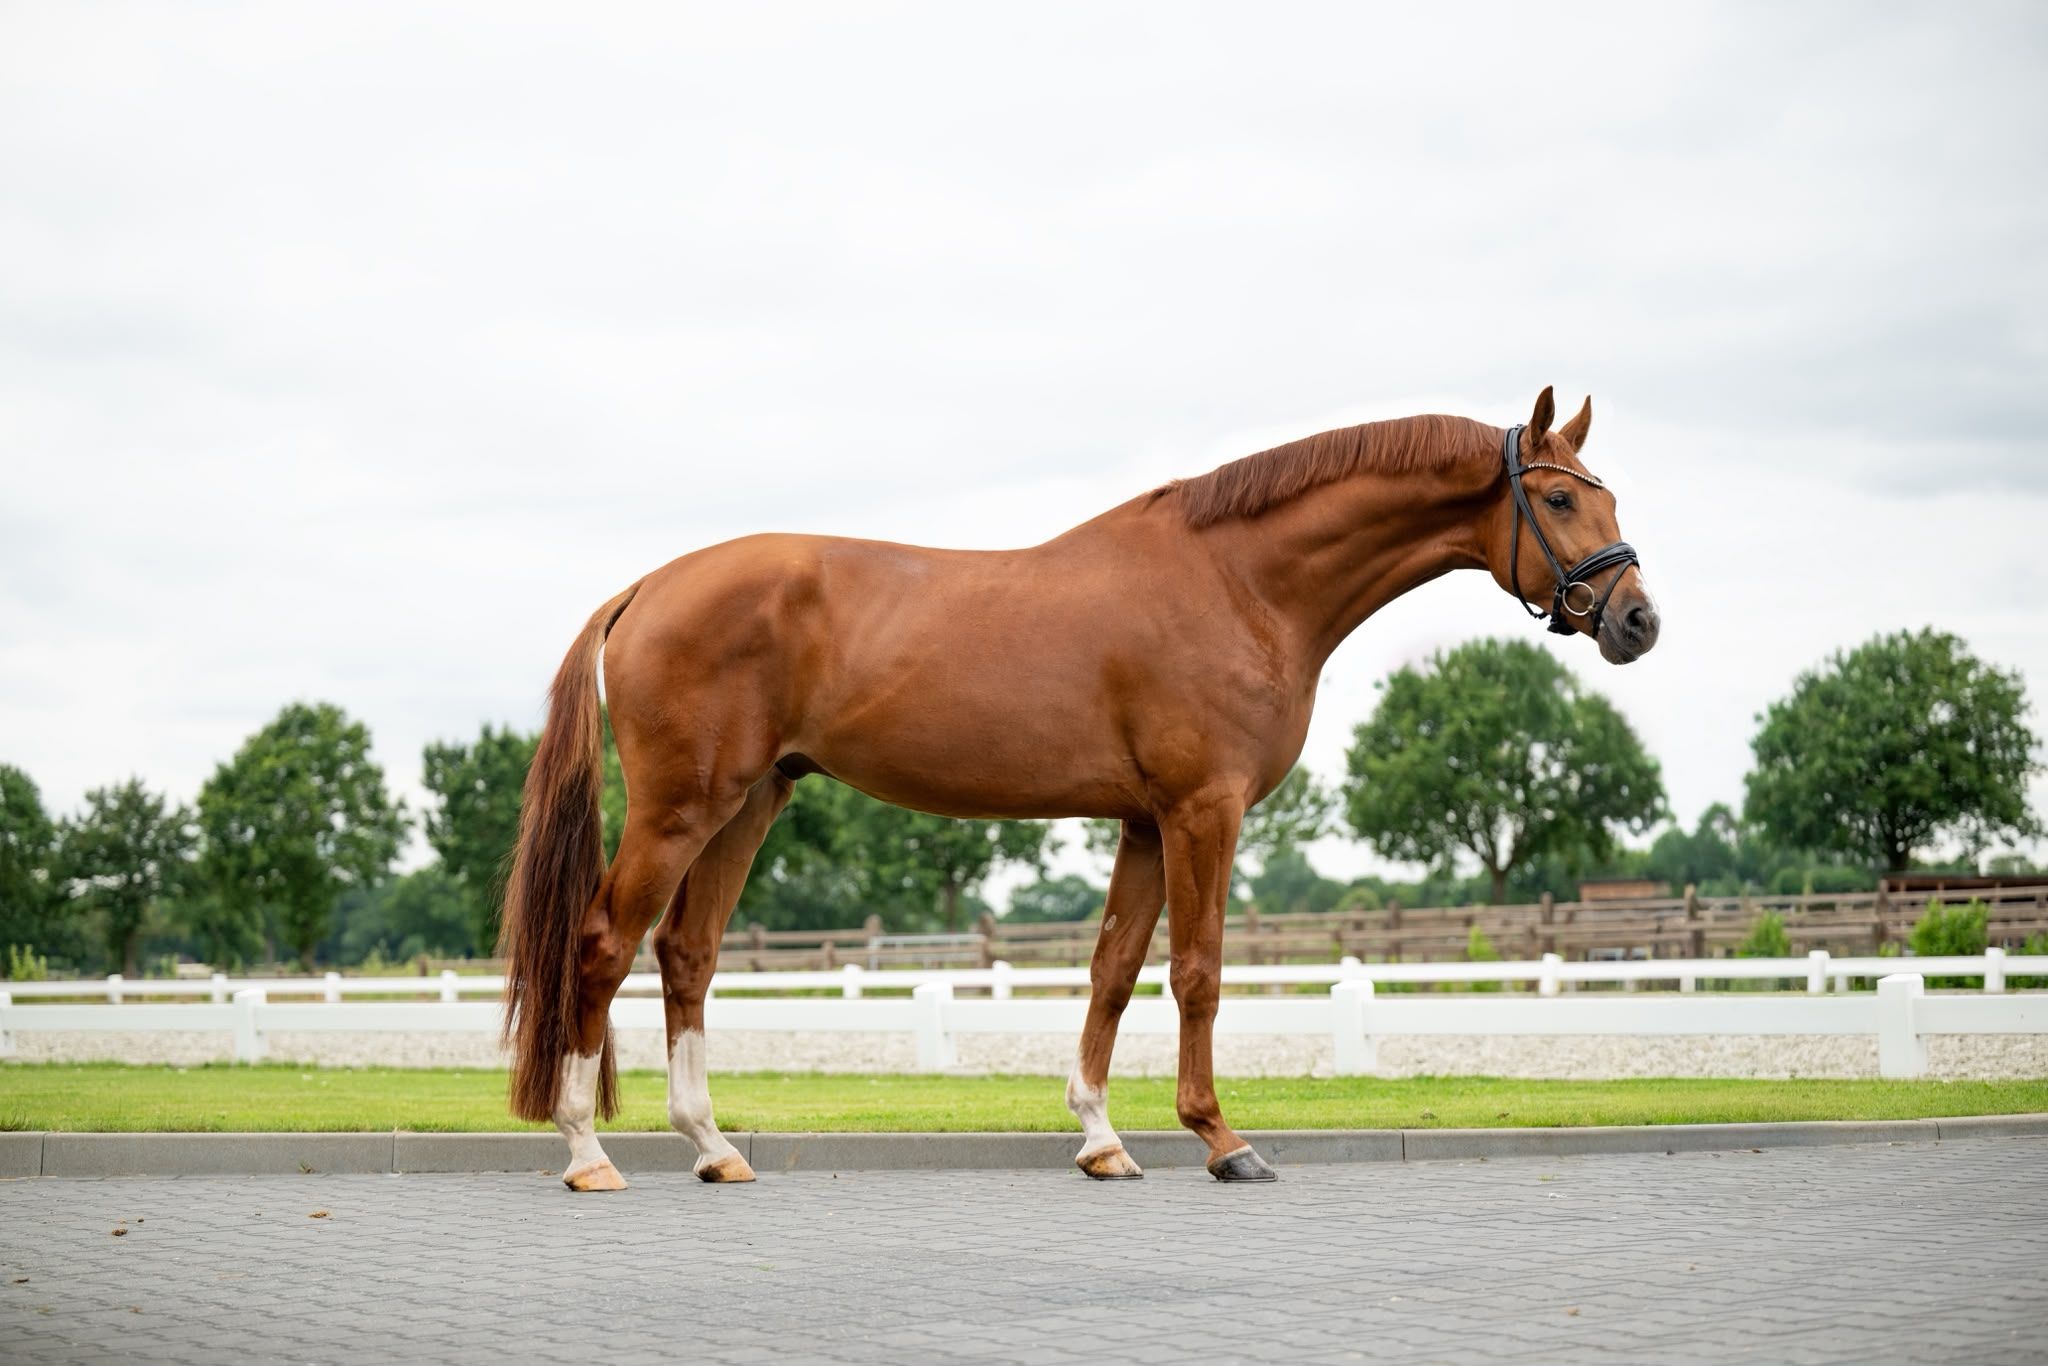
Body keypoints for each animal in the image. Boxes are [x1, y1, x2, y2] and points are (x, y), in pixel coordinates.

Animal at [498, 385, 1660, 1190]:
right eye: (1559, 495)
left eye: (1604, 493)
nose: (1636, 620)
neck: (1240, 583)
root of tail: (645, 587)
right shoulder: (1202, 813)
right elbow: (1196, 973)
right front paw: (1222, 1139)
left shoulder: (1144, 822)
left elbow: (1111, 972)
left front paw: (1101, 1138)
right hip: (680, 811)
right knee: (602, 947)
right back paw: (588, 1152)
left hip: (750, 803)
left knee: (685, 956)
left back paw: (712, 1145)